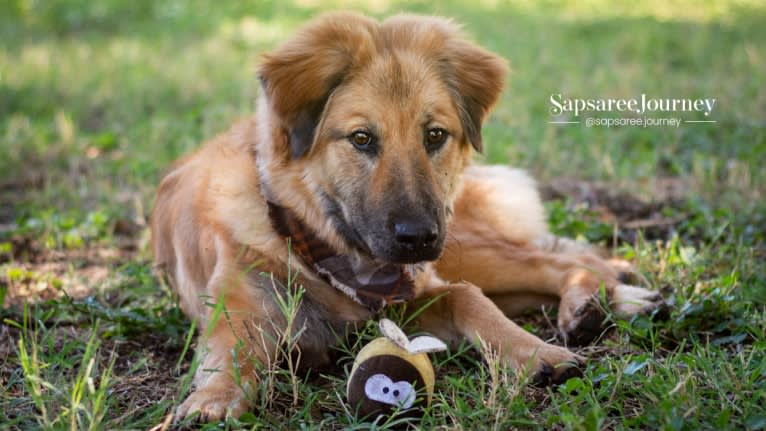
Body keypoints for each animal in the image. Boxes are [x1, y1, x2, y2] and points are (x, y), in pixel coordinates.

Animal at [152, 12, 664, 422]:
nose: (417, 237)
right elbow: (230, 355)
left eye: (434, 135)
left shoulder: (413, 293)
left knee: (557, 261)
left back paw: (596, 302)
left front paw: (535, 351)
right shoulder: (244, 309)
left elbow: (467, 297)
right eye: (361, 139)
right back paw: (597, 304)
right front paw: (213, 399)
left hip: (460, 247)